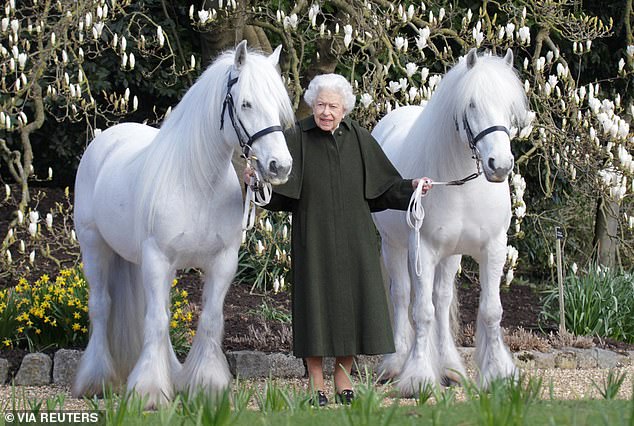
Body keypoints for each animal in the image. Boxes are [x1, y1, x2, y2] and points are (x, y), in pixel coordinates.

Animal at [72, 40, 294, 406]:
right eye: (246, 103)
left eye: (278, 107)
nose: (280, 166)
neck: (197, 182)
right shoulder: (158, 258)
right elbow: (157, 322)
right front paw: (148, 391)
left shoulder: (222, 262)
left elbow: (209, 320)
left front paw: (206, 385)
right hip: (95, 247)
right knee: (101, 307)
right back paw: (96, 380)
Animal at [370, 48, 528, 394]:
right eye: (472, 104)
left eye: (510, 107)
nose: (500, 165)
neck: (461, 185)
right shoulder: (423, 250)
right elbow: (421, 312)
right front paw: (417, 377)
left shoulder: (493, 248)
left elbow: (490, 311)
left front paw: (498, 373)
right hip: (394, 246)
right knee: (402, 296)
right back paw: (395, 363)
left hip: (450, 255)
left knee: (441, 301)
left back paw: (450, 368)